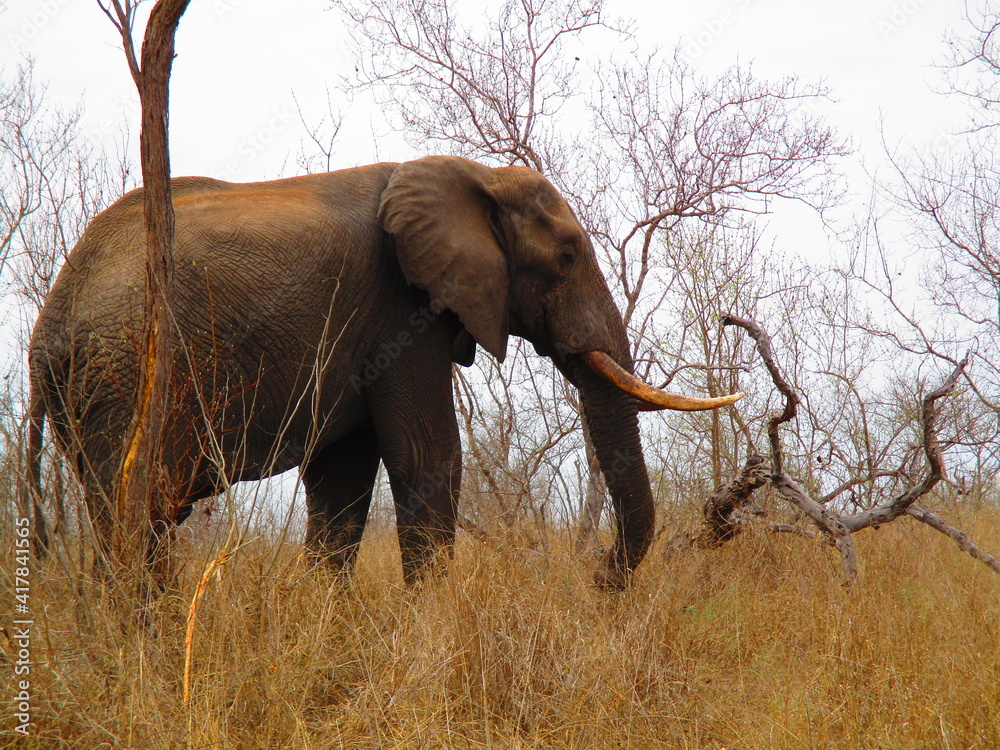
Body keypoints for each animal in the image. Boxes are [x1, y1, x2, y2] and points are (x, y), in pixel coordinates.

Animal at [24, 155, 741, 588]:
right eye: (566, 256)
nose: (596, 584)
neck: (472, 174)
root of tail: (49, 324)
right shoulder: (401, 309)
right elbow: (427, 456)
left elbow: (343, 481)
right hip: (127, 372)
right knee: (138, 510)